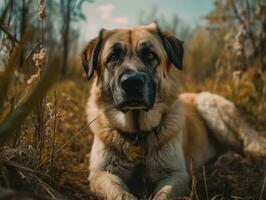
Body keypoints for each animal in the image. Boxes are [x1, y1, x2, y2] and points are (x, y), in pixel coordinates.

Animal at [81, 22, 266, 199]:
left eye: (150, 55)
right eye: (113, 57)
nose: (132, 82)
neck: (138, 135)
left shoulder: (176, 175)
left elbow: (163, 195)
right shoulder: (102, 174)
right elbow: (120, 194)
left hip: (210, 108)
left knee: (245, 144)